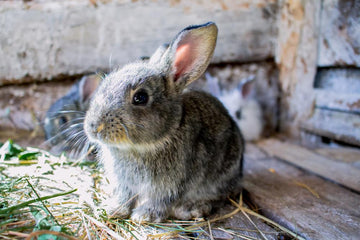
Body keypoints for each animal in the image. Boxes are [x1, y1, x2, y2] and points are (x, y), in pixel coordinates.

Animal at [83, 21, 245, 222]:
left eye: (140, 97)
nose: (94, 127)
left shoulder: (171, 185)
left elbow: (160, 200)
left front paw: (144, 215)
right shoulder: (125, 183)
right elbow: (124, 196)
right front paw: (113, 209)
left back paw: (192, 209)